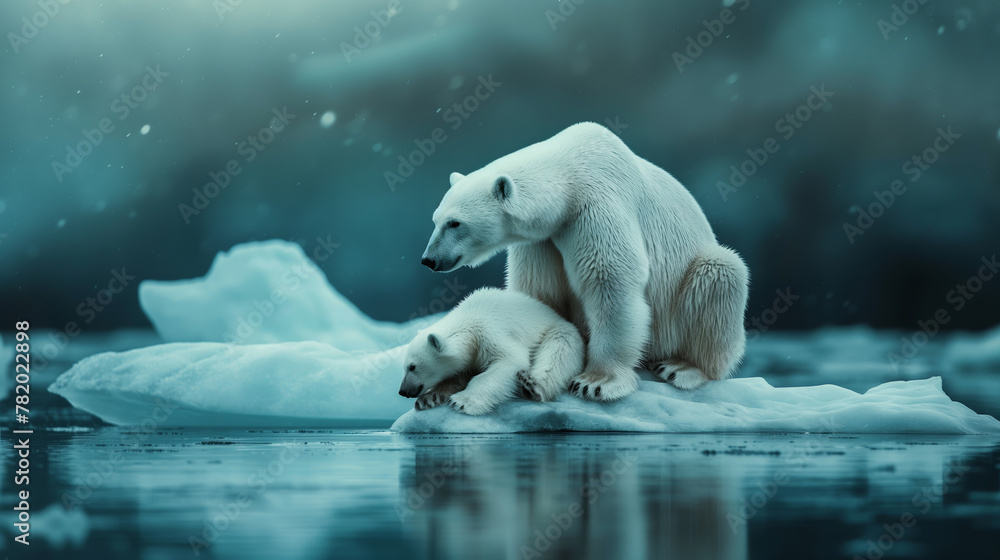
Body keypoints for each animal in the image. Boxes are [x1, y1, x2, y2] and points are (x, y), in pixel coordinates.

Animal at [397, 287, 585, 415]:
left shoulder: (488, 332)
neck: (469, 319)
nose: (402, 391)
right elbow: (458, 374)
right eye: (404, 366)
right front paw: (429, 398)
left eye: (412, 366)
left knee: (559, 351)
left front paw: (462, 401)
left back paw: (533, 386)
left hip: (557, 331)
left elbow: (509, 360)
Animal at [419, 121, 749, 400]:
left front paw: (596, 382)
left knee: (720, 272)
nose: (429, 259)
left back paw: (683, 367)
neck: (569, 176)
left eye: (455, 223)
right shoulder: (544, 239)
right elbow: (540, 294)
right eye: (435, 219)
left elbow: (611, 283)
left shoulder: (596, 207)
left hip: (690, 294)